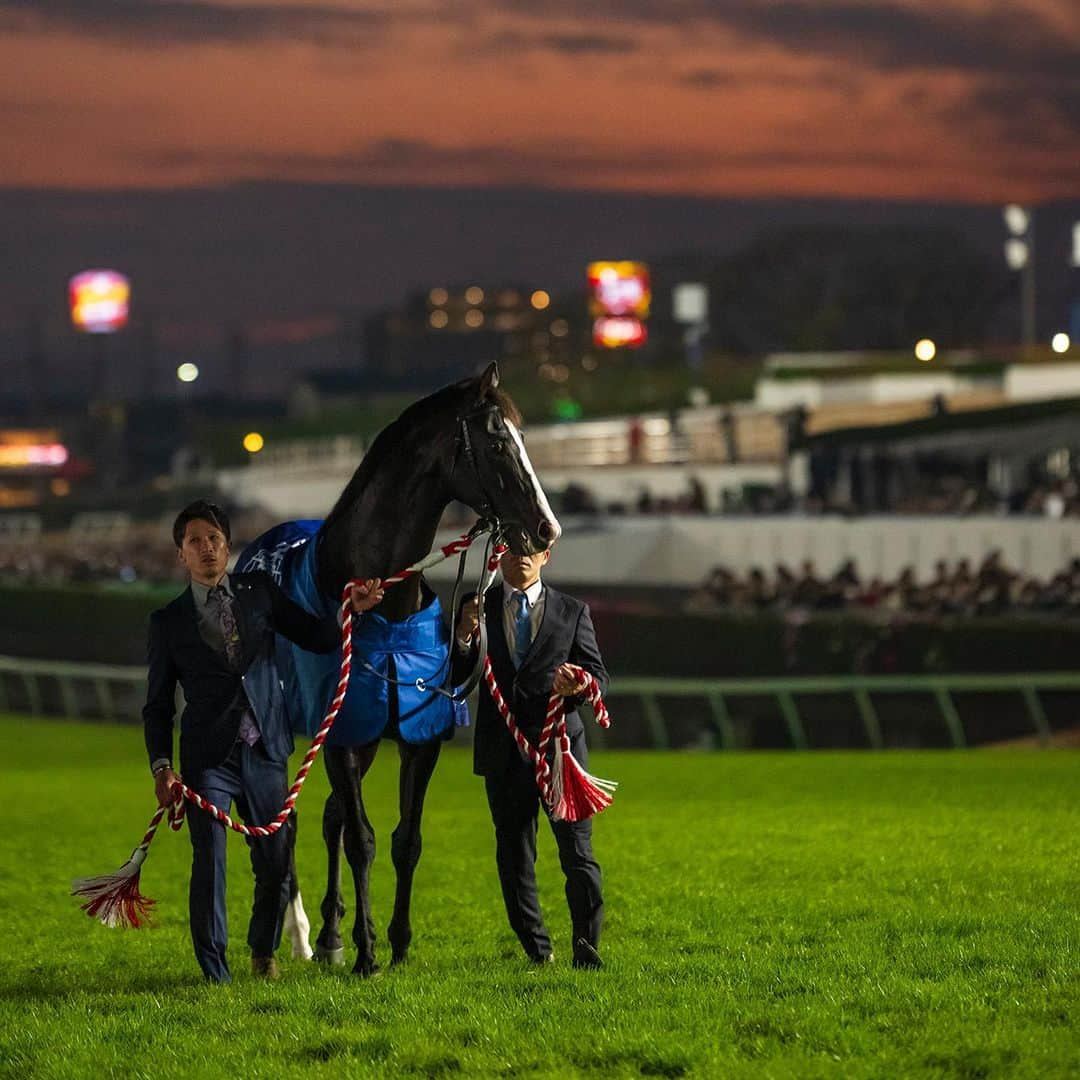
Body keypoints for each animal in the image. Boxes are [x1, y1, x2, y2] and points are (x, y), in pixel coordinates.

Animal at [236, 365, 557, 980]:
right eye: (498, 442)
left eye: (525, 437)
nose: (546, 528)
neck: (380, 598)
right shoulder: (341, 732)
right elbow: (361, 840)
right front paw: (366, 954)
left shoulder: (417, 733)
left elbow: (405, 839)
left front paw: (398, 942)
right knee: (287, 821)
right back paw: (301, 935)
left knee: (329, 817)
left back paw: (329, 936)